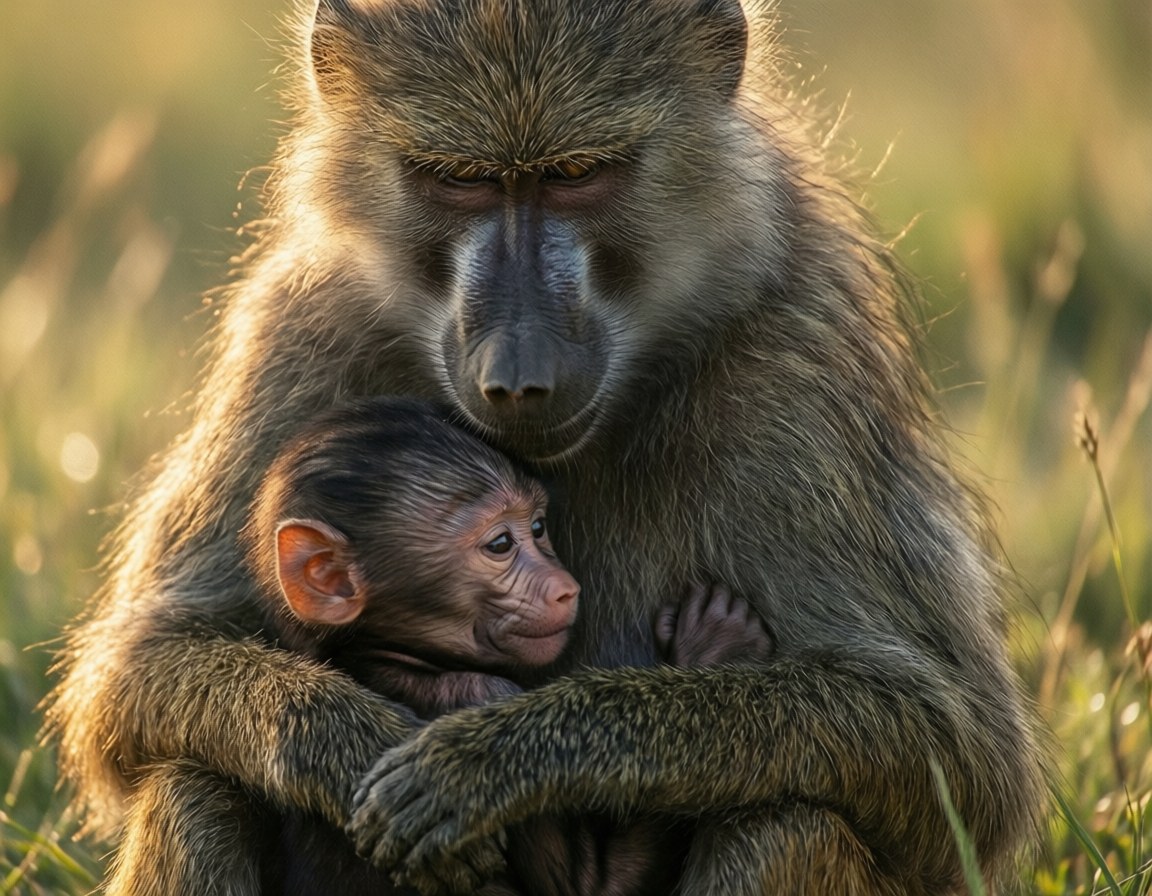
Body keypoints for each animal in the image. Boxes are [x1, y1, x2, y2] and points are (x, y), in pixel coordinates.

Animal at [48, 0, 1043, 894]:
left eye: (576, 173)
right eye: (458, 179)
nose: (518, 374)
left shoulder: (800, 365)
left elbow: (956, 747)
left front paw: (497, 761)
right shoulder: (302, 324)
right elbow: (136, 673)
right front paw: (345, 740)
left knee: (788, 816)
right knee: (193, 784)